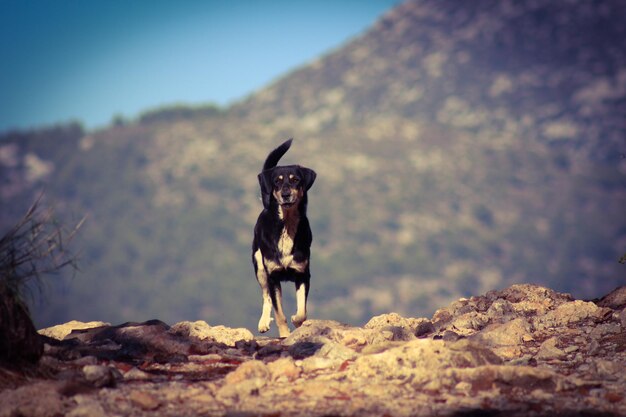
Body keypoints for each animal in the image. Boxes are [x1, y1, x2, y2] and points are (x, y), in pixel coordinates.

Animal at [250, 138, 314, 336]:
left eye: (295, 180)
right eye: (277, 182)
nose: (286, 195)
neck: (286, 225)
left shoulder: (303, 274)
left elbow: (302, 312)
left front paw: (298, 322)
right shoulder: (273, 277)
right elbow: (279, 314)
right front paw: (285, 335)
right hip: (259, 267)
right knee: (266, 297)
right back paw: (263, 322)